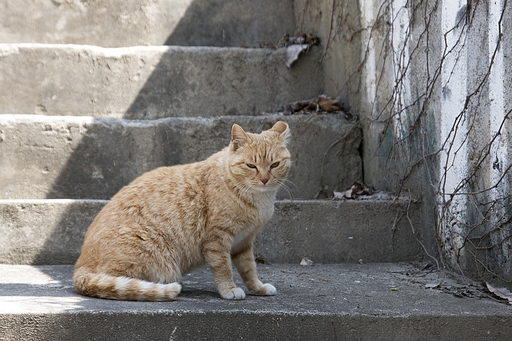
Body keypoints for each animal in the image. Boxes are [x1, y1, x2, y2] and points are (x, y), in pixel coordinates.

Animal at [71, 120, 292, 300]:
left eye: (274, 165)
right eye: (251, 166)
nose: (264, 179)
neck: (258, 199)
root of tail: (80, 264)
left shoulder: (244, 241)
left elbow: (249, 269)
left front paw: (257, 288)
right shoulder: (217, 239)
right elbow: (224, 268)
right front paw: (229, 289)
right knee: (116, 281)